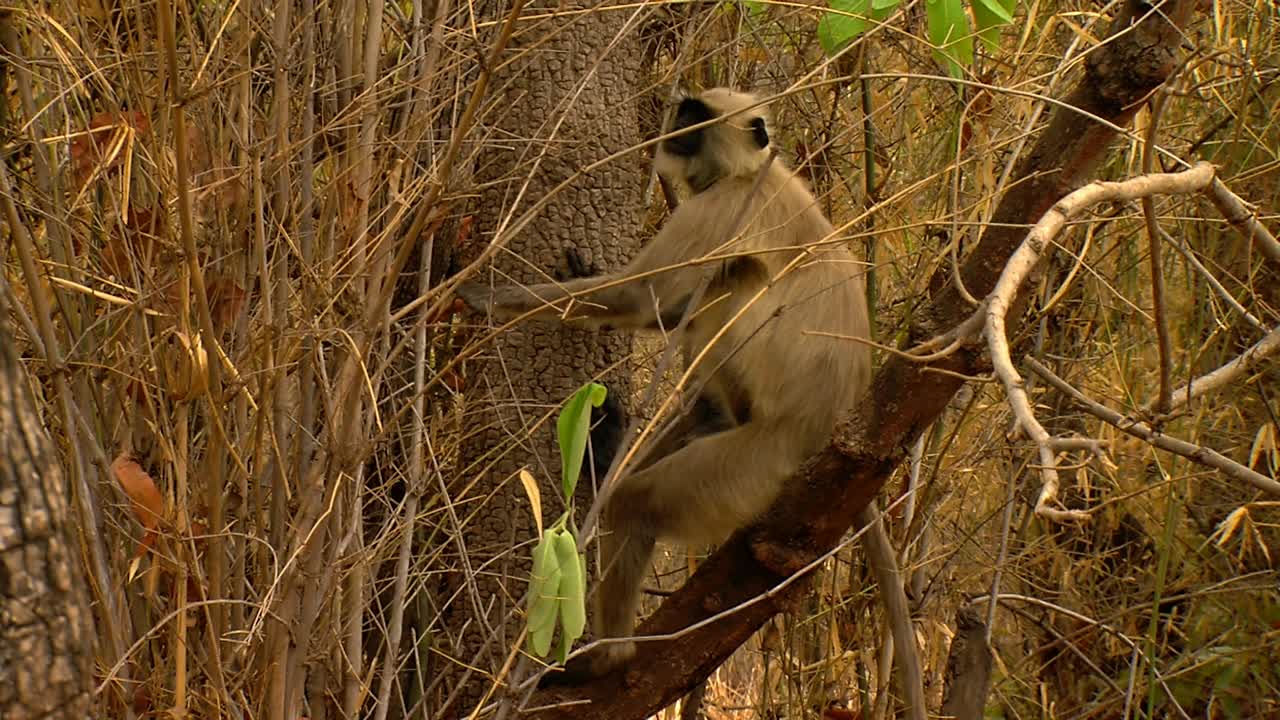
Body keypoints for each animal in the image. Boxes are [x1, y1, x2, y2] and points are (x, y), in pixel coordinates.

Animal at [458, 87, 870, 676]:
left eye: (697, 118)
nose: (675, 124)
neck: (751, 172)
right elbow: (663, 309)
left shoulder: (723, 208)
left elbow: (641, 295)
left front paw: (486, 296)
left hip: (758, 467)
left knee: (637, 501)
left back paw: (608, 657)